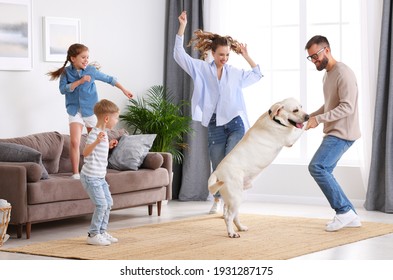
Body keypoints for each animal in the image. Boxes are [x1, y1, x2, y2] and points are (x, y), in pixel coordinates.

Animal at [207, 97, 308, 237]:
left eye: (301, 107)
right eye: (295, 110)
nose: (307, 116)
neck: (275, 120)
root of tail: (216, 172)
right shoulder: (289, 139)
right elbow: (301, 129)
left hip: (234, 198)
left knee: (233, 216)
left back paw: (240, 228)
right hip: (236, 197)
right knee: (228, 217)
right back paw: (232, 233)